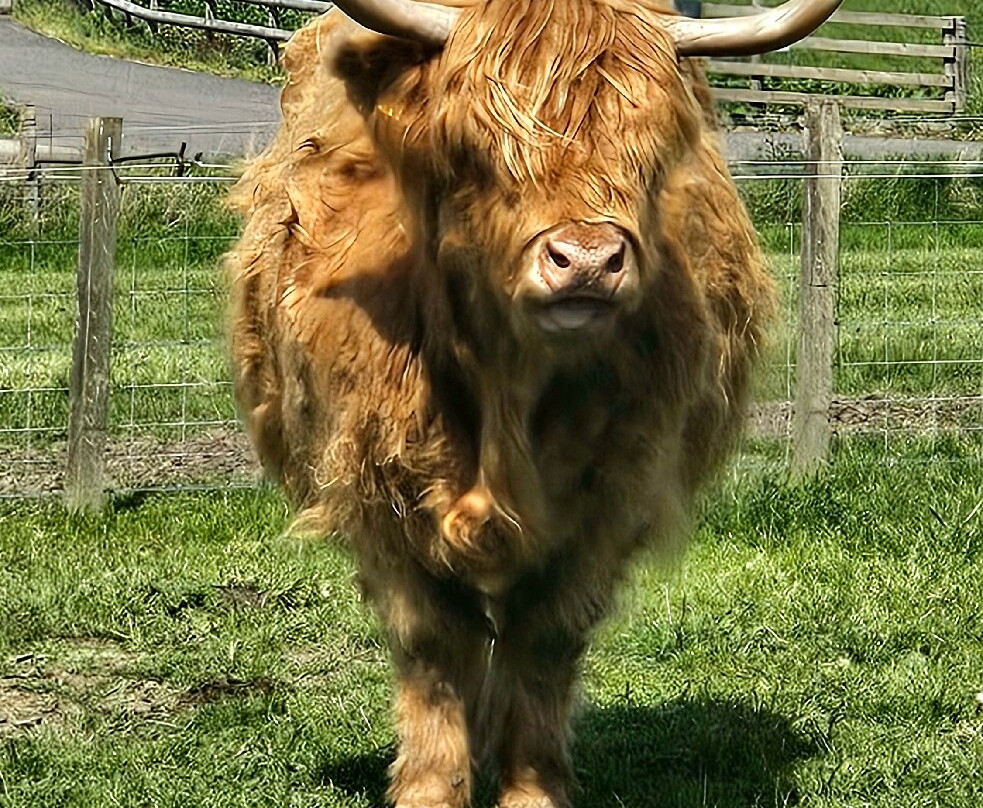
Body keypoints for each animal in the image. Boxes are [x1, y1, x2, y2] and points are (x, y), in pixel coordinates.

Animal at [226, 1, 841, 805]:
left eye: (649, 154)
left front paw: (530, 787)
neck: (505, 396)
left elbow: (545, 639)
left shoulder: (606, 504)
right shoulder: (377, 497)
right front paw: (432, 786)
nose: (586, 261)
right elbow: (435, 647)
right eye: (474, 150)